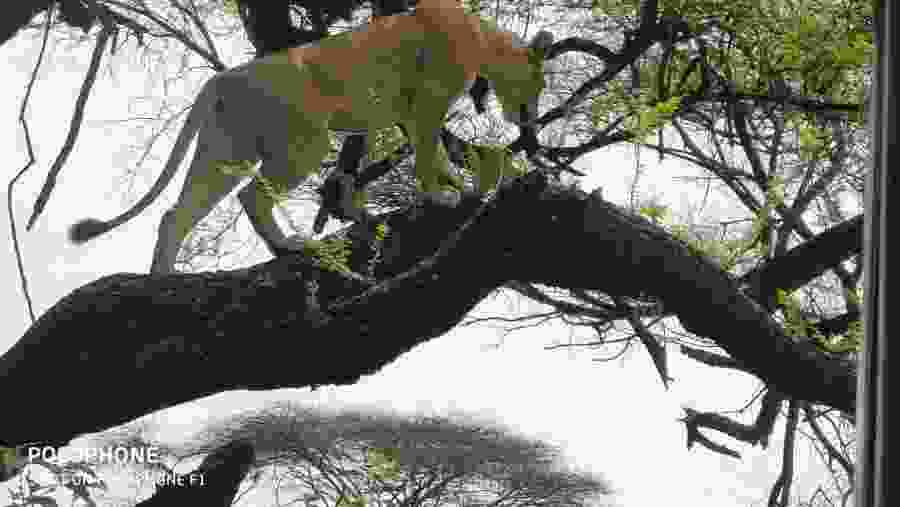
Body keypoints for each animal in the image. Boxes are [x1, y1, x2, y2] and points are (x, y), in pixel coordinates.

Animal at [69, 0, 553, 274]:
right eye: (539, 83)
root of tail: (222, 79)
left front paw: (461, 185)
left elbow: (430, 154)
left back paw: (162, 281)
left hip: (226, 151)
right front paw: (443, 194)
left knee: (177, 215)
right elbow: (426, 156)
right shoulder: (424, 105)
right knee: (250, 196)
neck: (482, 39)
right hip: (303, 143)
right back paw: (286, 246)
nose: (529, 121)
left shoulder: (404, 113)